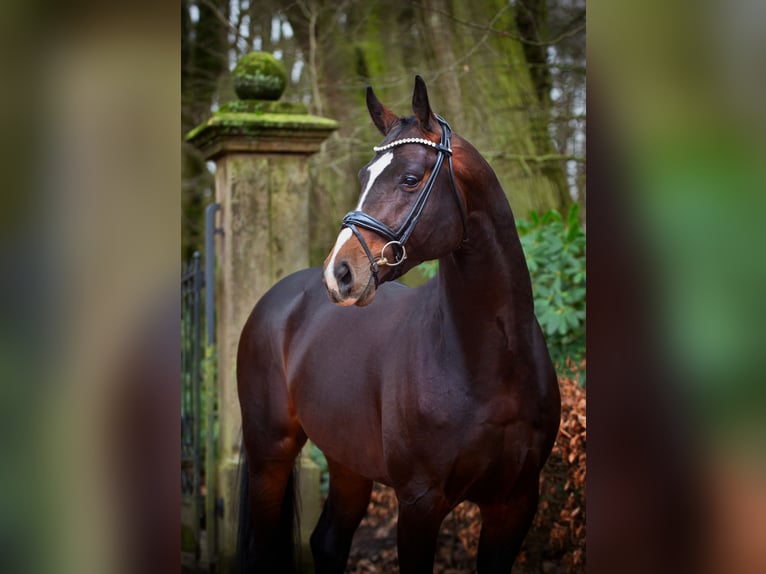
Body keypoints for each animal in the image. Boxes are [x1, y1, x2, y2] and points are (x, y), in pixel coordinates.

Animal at [237, 77, 560, 574]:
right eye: (363, 177)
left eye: (410, 178)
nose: (340, 273)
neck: (492, 365)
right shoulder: (419, 504)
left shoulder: (516, 502)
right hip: (269, 453)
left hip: (346, 460)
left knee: (328, 542)